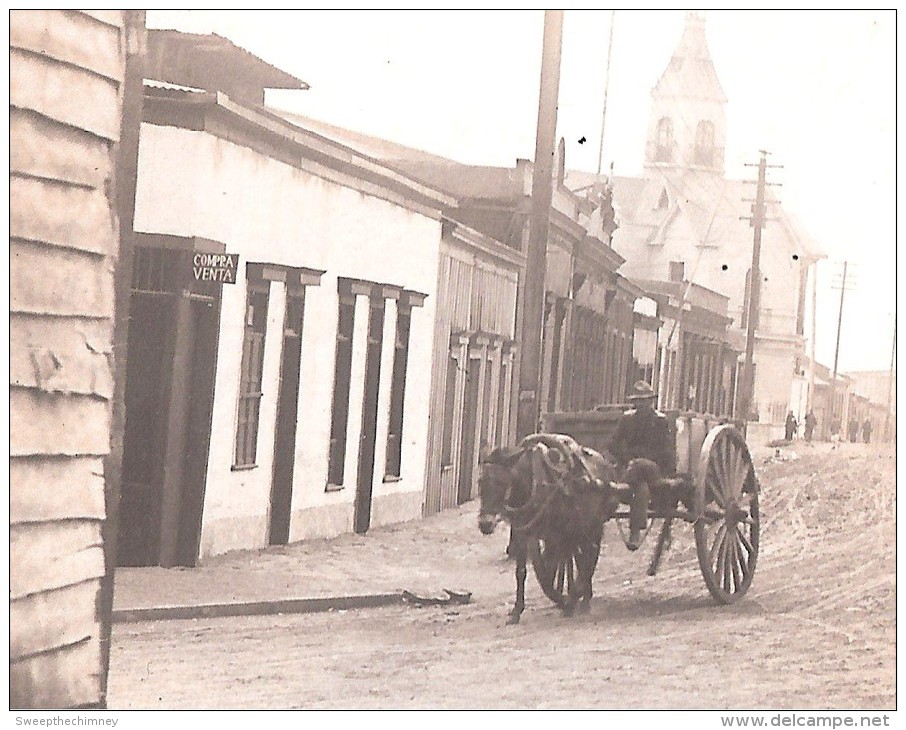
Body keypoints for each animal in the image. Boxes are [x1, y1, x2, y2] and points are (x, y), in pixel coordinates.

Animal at [476, 436, 616, 624]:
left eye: (503, 483)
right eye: (480, 482)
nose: (485, 524)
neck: (533, 488)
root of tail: (604, 463)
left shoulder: (553, 537)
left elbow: (546, 573)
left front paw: (563, 600)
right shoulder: (523, 533)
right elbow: (522, 572)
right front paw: (516, 611)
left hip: (593, 526)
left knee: (590, 557)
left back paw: (582, 599)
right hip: (576, 531)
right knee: (578, 557)